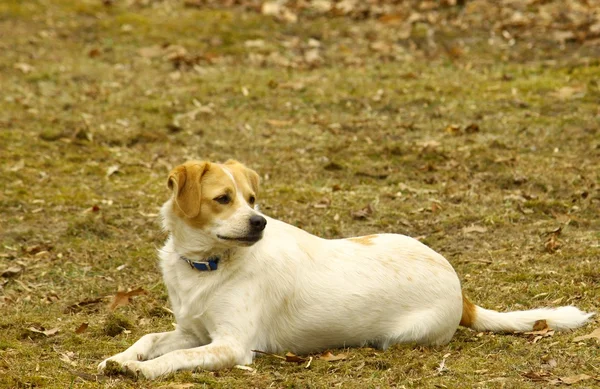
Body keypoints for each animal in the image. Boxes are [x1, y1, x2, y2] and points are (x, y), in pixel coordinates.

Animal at [98, 159, 596, 378]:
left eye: (252, 199)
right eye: (223, 198)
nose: (259, 222)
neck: (208, 264)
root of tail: (460, 289)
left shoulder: (231, 345)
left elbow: (175, 358)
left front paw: (142, 372)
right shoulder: (193, 330)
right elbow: (149, 339)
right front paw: (120, 359)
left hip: (403, 334)